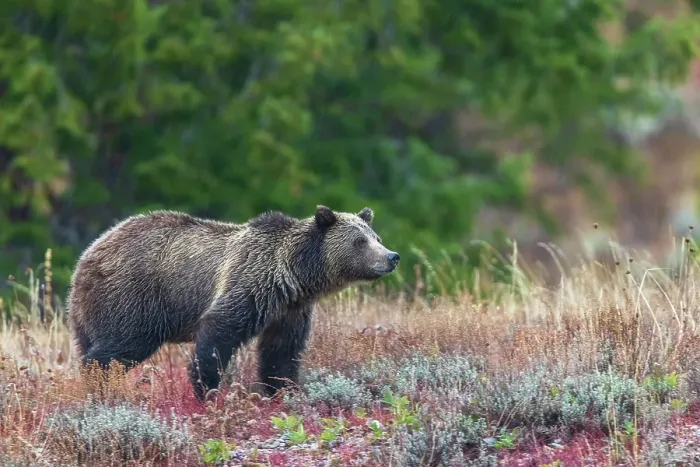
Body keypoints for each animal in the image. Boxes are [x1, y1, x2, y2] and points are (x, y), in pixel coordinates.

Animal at [66, 205, 400, 401]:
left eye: (377, 237)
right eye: (360, 241)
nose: (391, 257)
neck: (294, 276)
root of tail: (88, 255)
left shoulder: (289, 310)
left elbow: (281, 350)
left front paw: (283, 388)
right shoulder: (251, 282)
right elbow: (220, 331)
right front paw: (207, 388)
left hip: (89, 311)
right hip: (134, 298)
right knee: (123, 344)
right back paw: (98, 383)